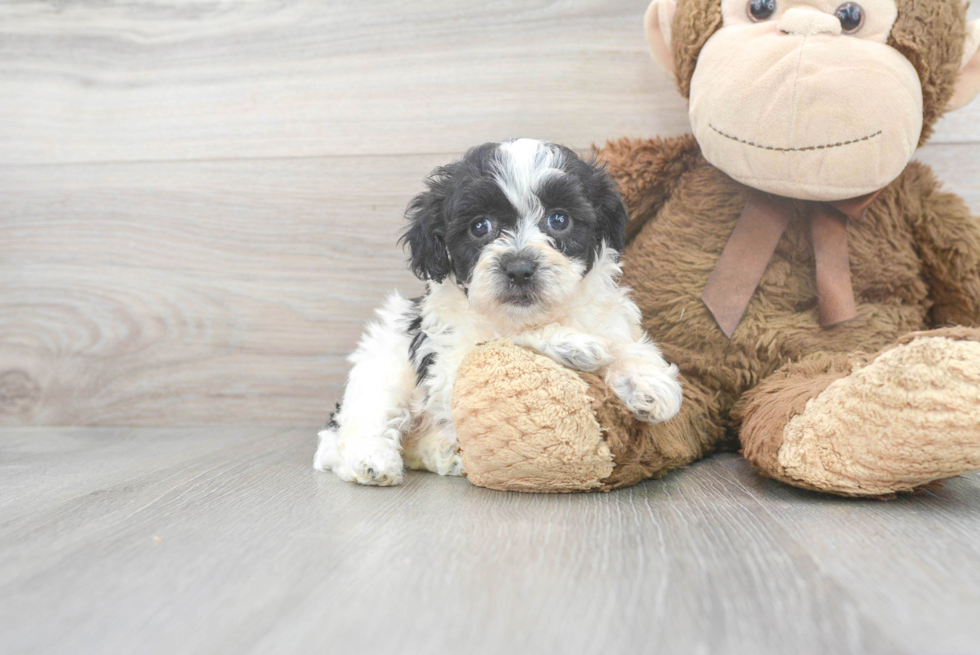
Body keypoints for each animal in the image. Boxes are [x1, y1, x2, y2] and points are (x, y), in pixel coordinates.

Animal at [314, 138, 680, 486]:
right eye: (480, 227)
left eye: (559, 219)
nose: (519, 268)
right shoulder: (451, 365)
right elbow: (505, 339)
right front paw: (574, 344)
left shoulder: (608, 316)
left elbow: (625, 345)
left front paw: (650, 383)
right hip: (382, 366)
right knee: (361, 424)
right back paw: (372, 463)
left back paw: (447, 454)